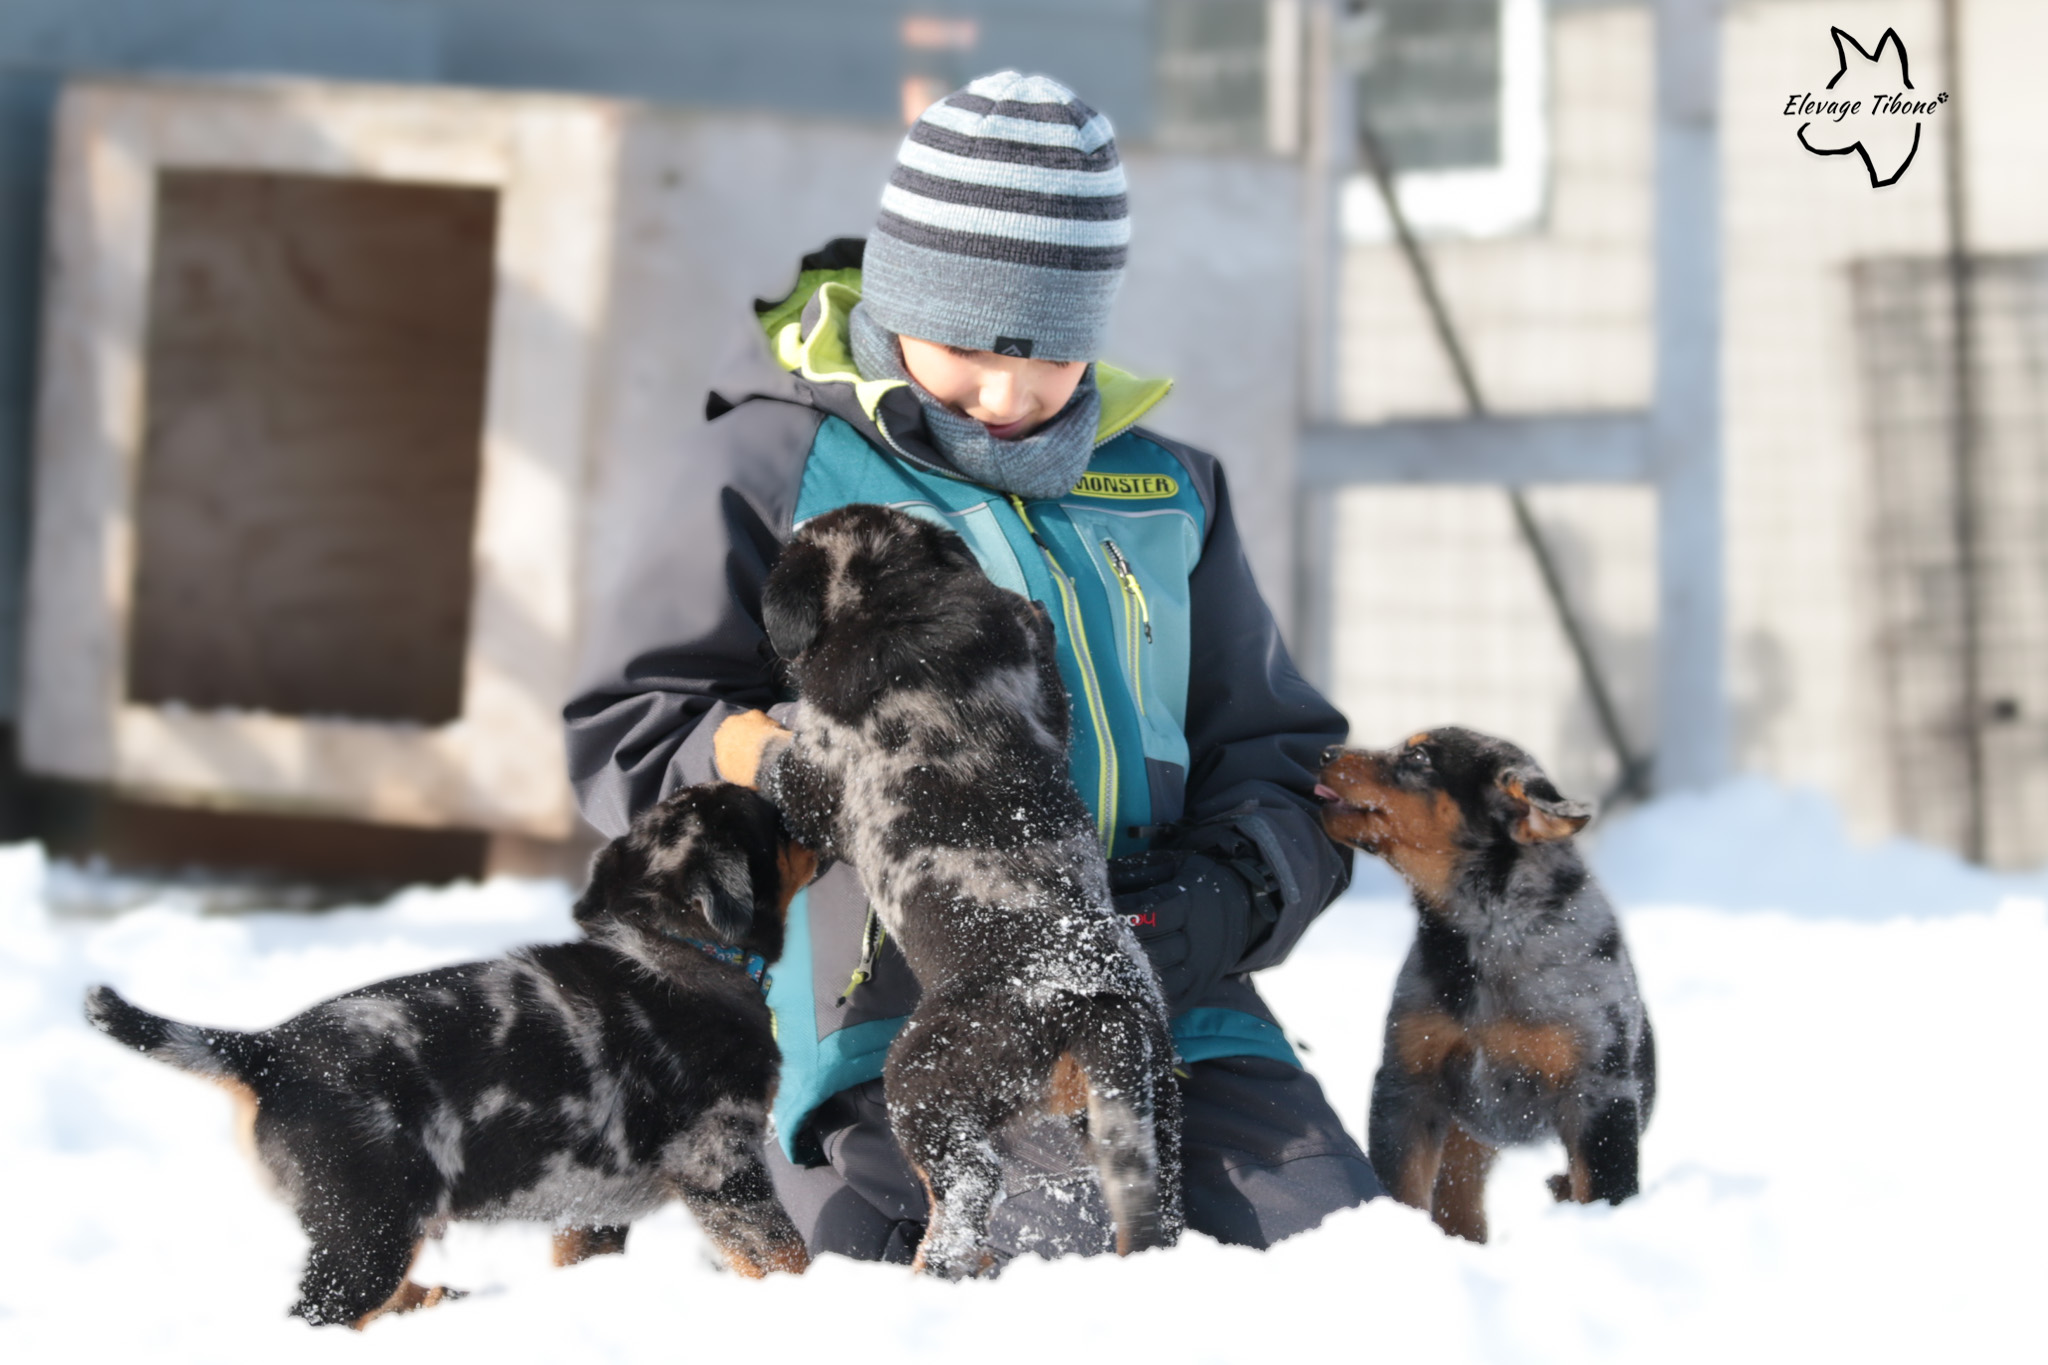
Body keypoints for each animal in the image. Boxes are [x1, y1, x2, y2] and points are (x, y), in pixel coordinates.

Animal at [79, 785, 815, 1326]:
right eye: (776, 824)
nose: (805, 798)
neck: (677, 946)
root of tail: (268, 1051)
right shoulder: (720, 1163)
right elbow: (785, 1250)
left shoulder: (593, 1208)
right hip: (367, 1229)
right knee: (317, 1313)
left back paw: (438, 1300)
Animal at [757, 501, 1187, 1285]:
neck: (891, 598)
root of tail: (1093, 1001)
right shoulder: (1038, 670)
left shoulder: (820, 772)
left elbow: (771, 758)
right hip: (1152, 1105)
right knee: (1154, 1212)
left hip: (921, 1077)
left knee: (966, 1193)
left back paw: (932, 1268)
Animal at [1318, 732, 1654, 1244]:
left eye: (1419, 757)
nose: (1324, 753)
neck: (1489, 930)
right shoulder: (1406, 1084)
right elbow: (1404, 1185)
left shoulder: (1600, 1094)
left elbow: (1605, 1188)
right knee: (1461, 1203)